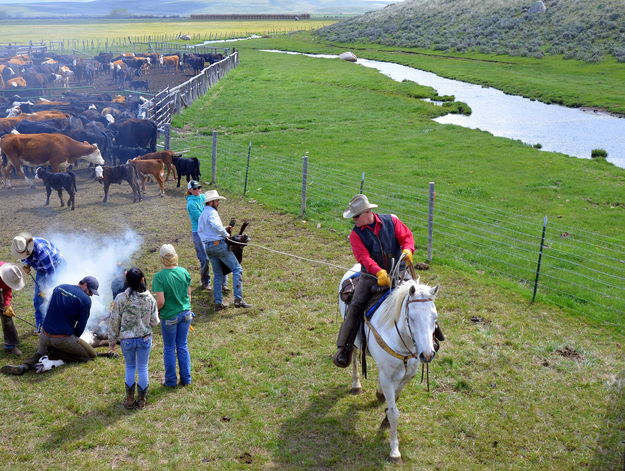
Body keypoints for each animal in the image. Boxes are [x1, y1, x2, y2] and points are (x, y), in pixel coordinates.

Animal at [336, 266, 438, 464]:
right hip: (353, 340)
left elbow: (394, 401)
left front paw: (384, 414)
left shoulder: (406, 377)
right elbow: (394, 413)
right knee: (354, 358)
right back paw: (356, 384)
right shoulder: (388, 378)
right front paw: (394, 451)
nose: (428, 354)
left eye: (434, 317)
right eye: (411, 318)